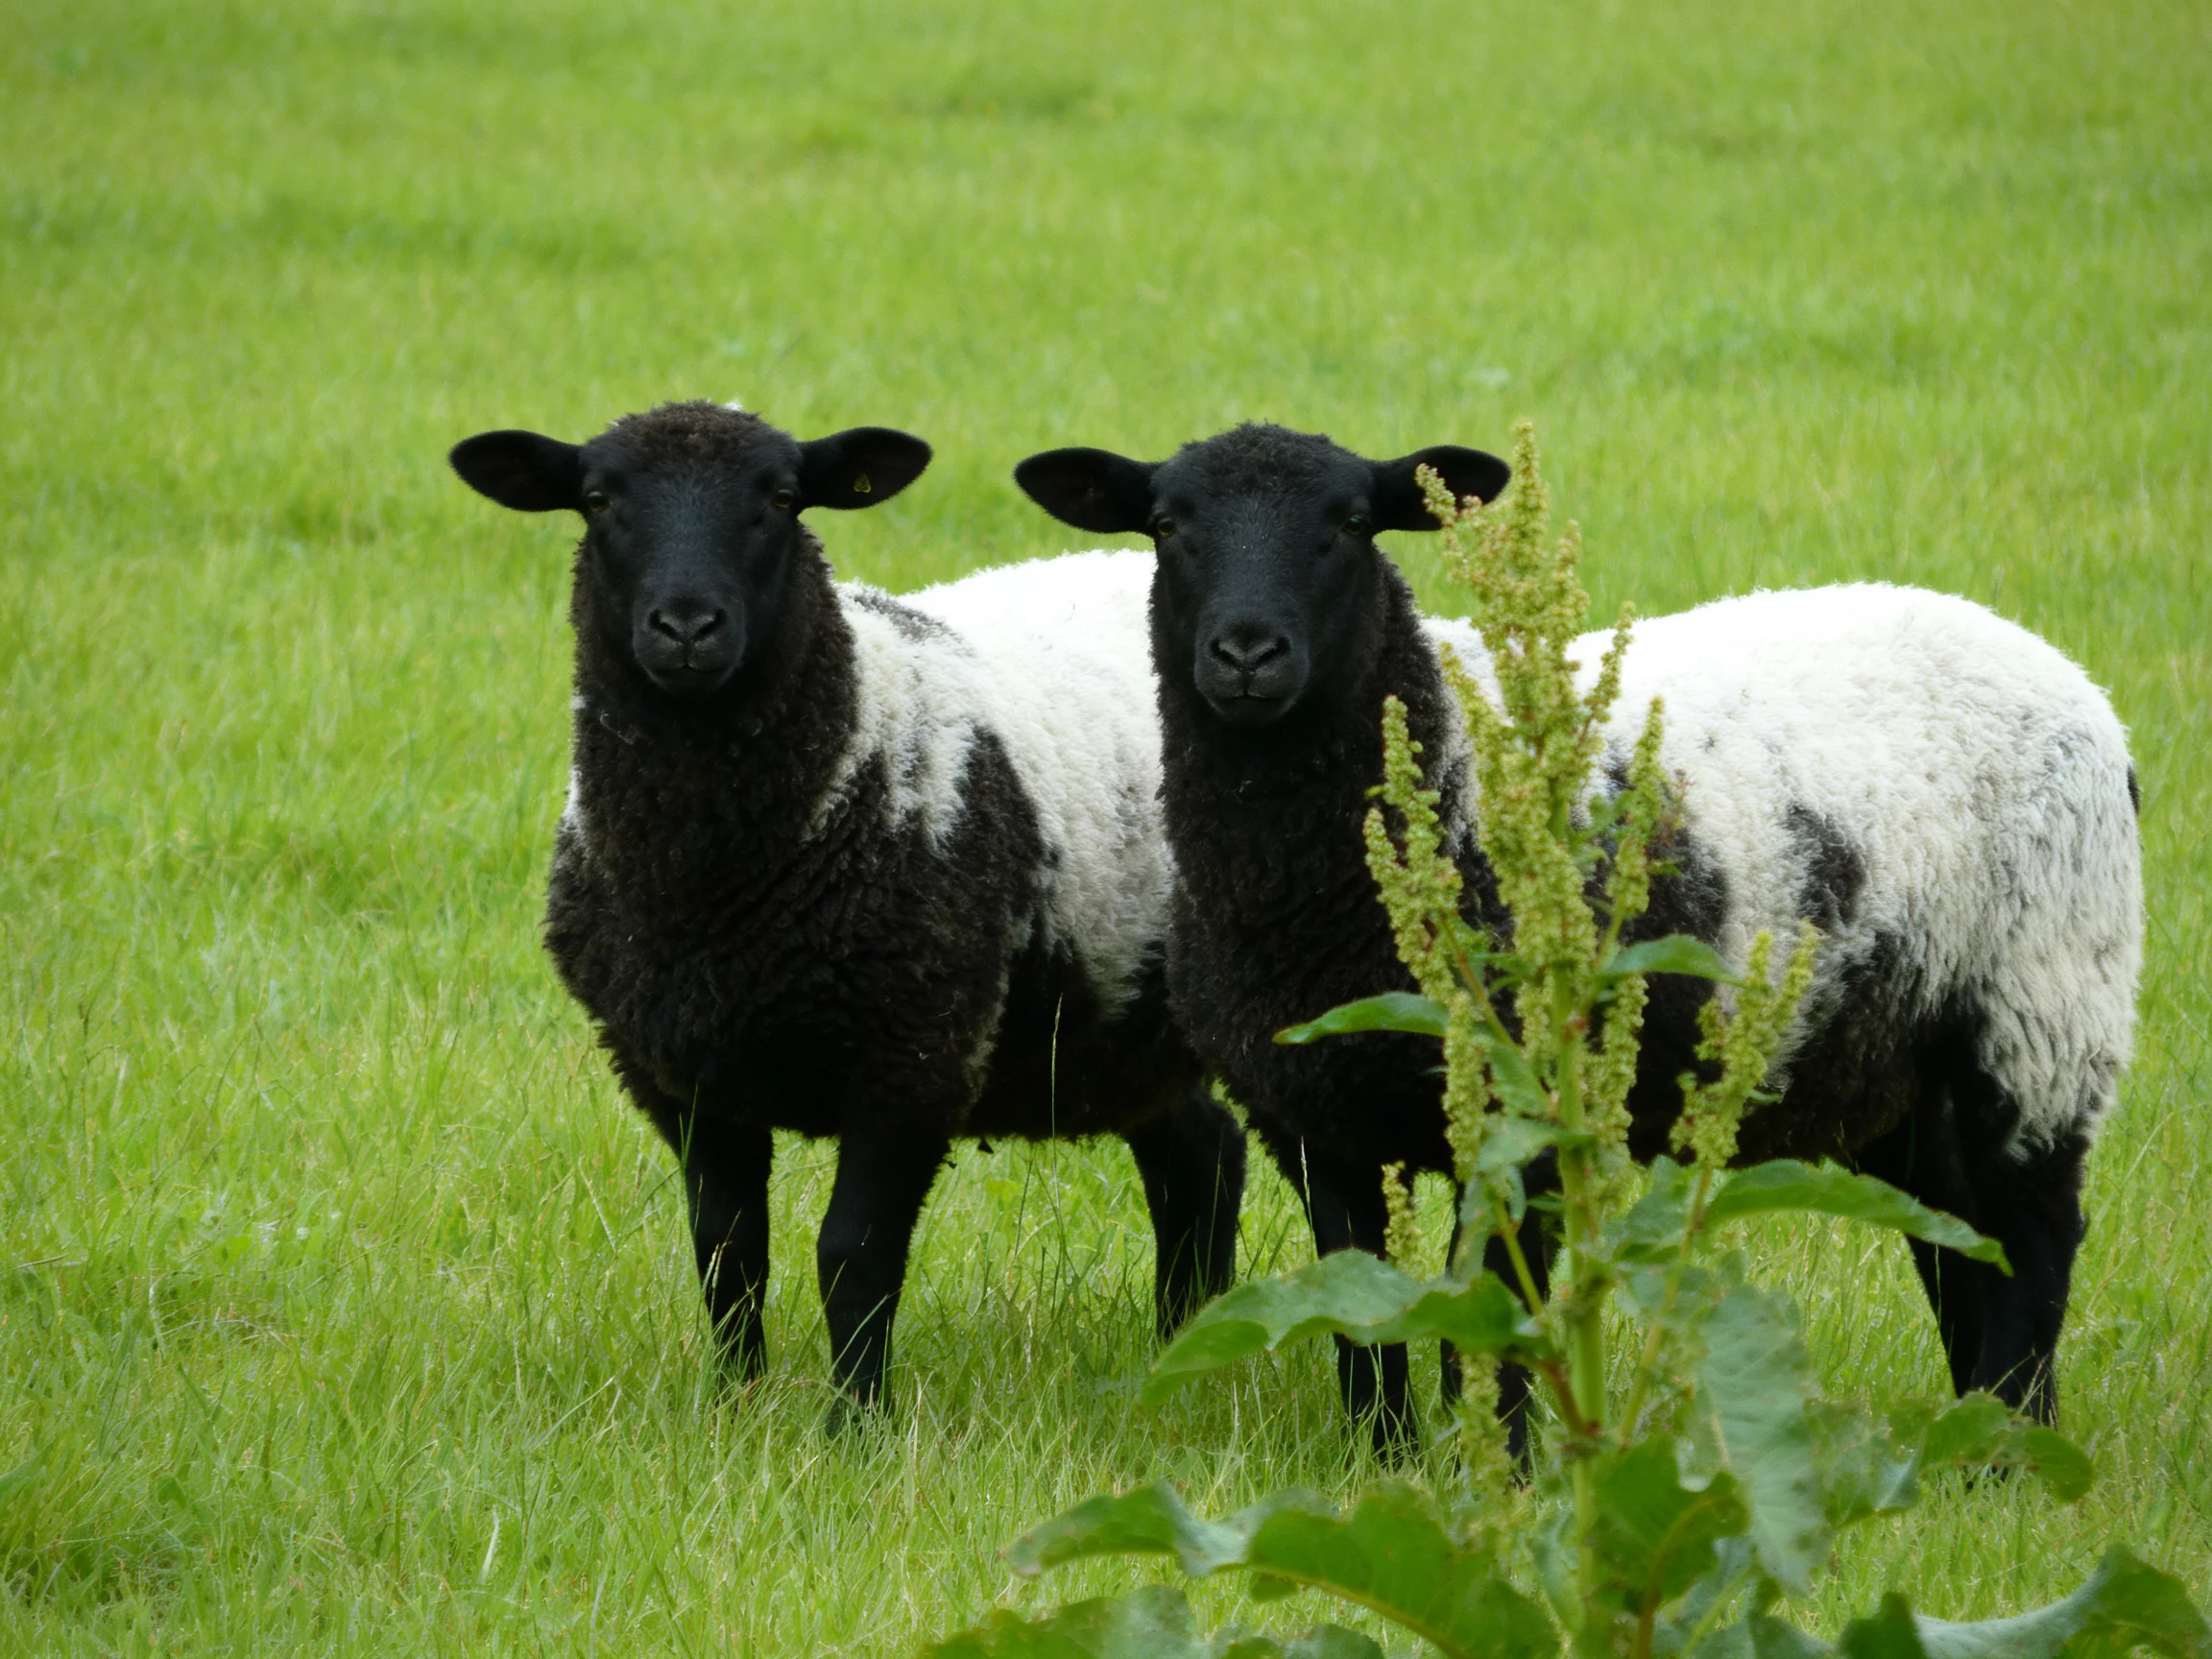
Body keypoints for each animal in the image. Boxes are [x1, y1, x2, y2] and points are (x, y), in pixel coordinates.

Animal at [449, 400, 1245, 1416]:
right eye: (597, 499)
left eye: (782, 500)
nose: (687, 627)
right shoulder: (676, 1073)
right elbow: (727, 1251)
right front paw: (734, 1407)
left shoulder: (911, 1058)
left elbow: (853, 1259)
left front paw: (856, 1423)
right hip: (1119, 1018)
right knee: (1199, 1155)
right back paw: (1181, 1353)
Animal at [1014, 422, 2142, 1453]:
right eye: (1168, 526)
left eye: (1350, 523)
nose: (1248, 654)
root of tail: (2066, 676)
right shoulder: (1312, 1115)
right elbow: (1361, 1318)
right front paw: (1388, 1463)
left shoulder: (1529, 1120)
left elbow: (1499, 1318)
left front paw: (1507, 1472)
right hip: (1905, 1061)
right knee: (1962, 1242)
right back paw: (1988, 1438)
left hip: (2045, 1012)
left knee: (2036, 1239)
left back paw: (2007, 1456)